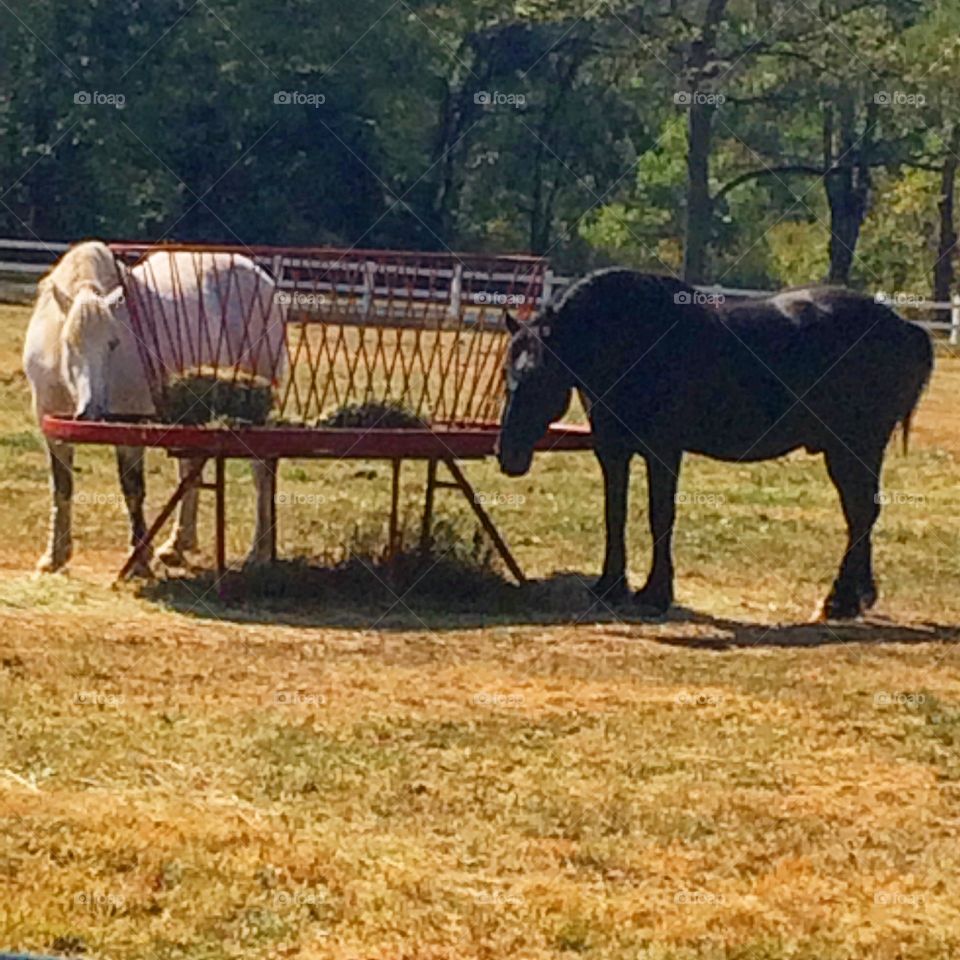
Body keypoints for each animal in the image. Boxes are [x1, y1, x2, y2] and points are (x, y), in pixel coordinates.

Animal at [22, 239, 284, 572]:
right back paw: (177, 545)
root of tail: (263, 280)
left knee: (262, 472)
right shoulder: (50, 424)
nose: (91, 411)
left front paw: (138, 559)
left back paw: (257, 552)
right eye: (68, 343)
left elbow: (132, 488)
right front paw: (54, 556)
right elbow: (62, 486)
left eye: (113, 343)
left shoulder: (130, 428)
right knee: (190, 470)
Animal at [498, 266, 932, 620]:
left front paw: (655, 594)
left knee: (861, 513)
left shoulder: (663, 451)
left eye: (539, 376)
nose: (508, 457)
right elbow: (614, 513)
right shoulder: (612, 451)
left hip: (854, 449)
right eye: (507, 374)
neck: (637, 342)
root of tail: (902, 327)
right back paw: (857, 597)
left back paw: (840, 601)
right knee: (861, 514)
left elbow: (660, 516)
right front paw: (610, 586)